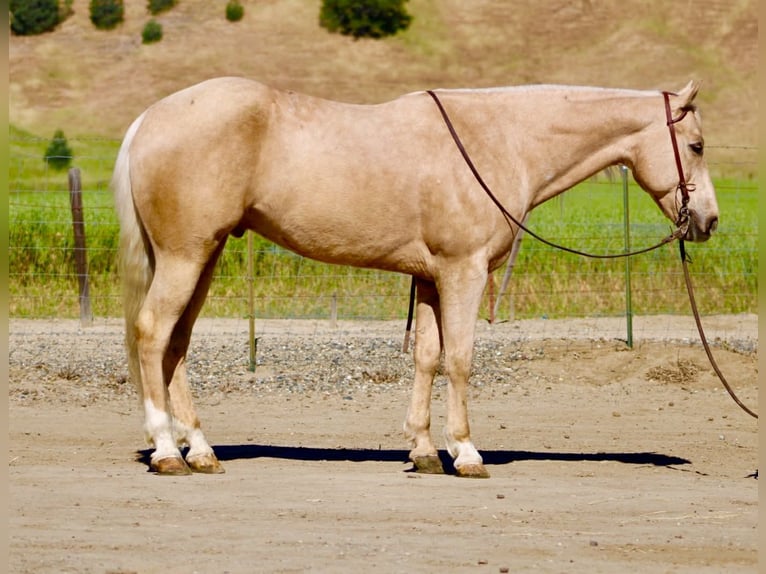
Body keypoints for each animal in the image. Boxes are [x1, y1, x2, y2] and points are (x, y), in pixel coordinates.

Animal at [112, 77, 718, 478]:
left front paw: (424, 451)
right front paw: (467, 452)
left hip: (203, 257)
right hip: (186, 256)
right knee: (152, 334)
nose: (708, 221)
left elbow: (427, 357)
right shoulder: (463, 272)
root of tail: (149, 119)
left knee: (176, 344)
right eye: (696, 145)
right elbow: (461, 359)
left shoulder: (430, 279)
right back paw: (166, 449)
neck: (500, 140)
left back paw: (199, 448)